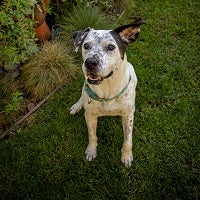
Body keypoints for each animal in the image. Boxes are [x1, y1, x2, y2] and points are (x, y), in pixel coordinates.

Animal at [69, 18, 145, 167]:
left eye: (111, 47)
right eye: (86, 45)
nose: (90, 62)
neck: (107, 90)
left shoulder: (128, 116)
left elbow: (128, 139)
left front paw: (126, 155)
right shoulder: (90, 115)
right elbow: (92, 135)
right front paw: (91, 150)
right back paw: (77, 106)